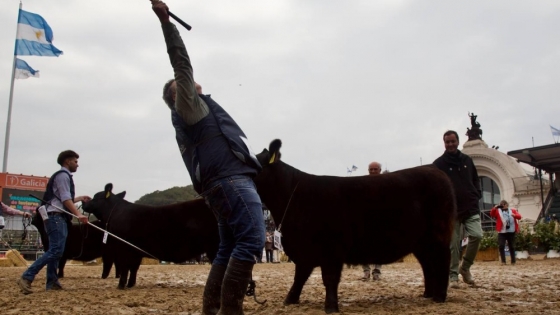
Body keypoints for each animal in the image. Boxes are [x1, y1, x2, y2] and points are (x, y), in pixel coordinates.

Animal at [82, 185, 220, 292]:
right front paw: (130, 284)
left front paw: (120, 286)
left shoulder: (124, 248)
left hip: (214, 246)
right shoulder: (136, 252)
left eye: (95, 197)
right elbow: (134, 268)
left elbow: (125, 267)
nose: (83, 203)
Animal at [254, 140, 456, 314]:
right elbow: (300, 276)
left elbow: (329, 279)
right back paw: (428, 294)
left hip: (437, 235)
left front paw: (331, 307)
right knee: (427, 264)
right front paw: (290, 300)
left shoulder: (331, 249)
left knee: (442, 260)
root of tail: (433, 169)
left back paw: (439, 296)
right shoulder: (305, 250)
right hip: (421, 242)